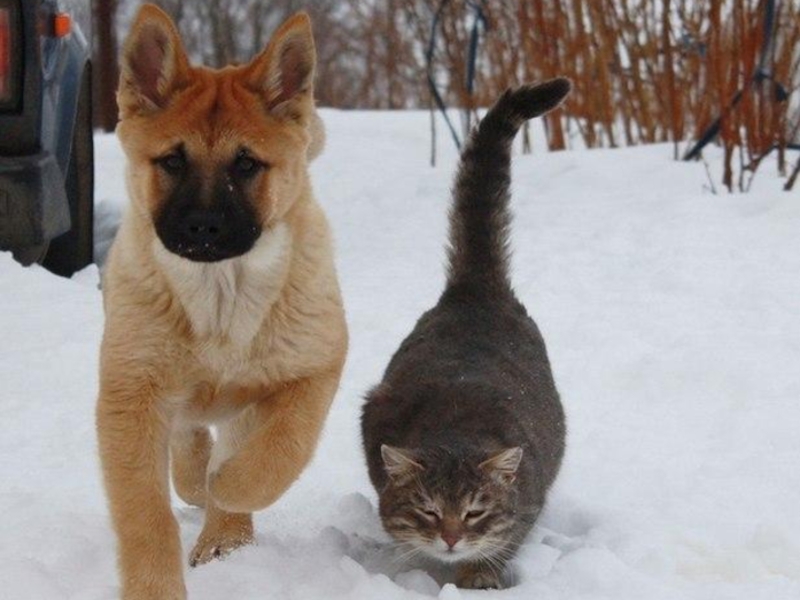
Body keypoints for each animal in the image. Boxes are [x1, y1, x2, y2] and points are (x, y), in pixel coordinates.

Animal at [96, 5, 347, 599]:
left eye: (246, 164)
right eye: (171, 161)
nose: (203, 228)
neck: (220, 295)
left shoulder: (317, 368)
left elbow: (281, 450)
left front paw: (229, 489)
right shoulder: (130, 395)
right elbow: (145, 514)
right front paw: (154, 587)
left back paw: (223, 534)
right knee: (188, 439)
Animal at [361, 79, 572, 590]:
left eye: (475, 513)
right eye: (428, 511)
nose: (452, 538)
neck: (455, 427)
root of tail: (475, 288)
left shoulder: (526, 504)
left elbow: (503, 541)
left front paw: (478, 577)